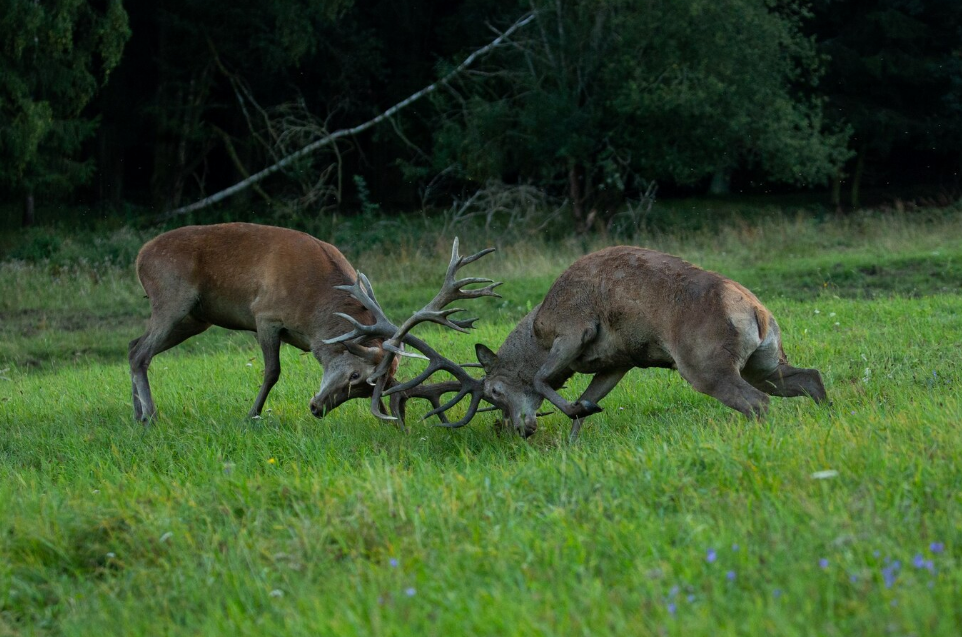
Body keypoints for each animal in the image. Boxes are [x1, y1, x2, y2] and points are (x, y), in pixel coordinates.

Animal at [127, 224, 398, 422]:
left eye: (366, 391)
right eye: (355, 374)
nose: (317, 409)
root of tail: (140, 256)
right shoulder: (266, 315)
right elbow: (272, 371)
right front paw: (252, 415)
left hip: (196, 318)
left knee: (132, 346)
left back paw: (138, 414)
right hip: (171, 298)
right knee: (141, 354)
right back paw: (151, 416)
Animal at [332, 241, 824, 440]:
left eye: (494, 391)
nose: (521, 429)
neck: (537, 329)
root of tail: (756, 310)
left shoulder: (573, 329)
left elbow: (544, 379)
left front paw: (575, 407)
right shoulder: (619, 360)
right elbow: (589, 397)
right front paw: (578, 426)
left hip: (705, 363)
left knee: (758, 403)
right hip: (766, 360)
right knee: (810, 378)